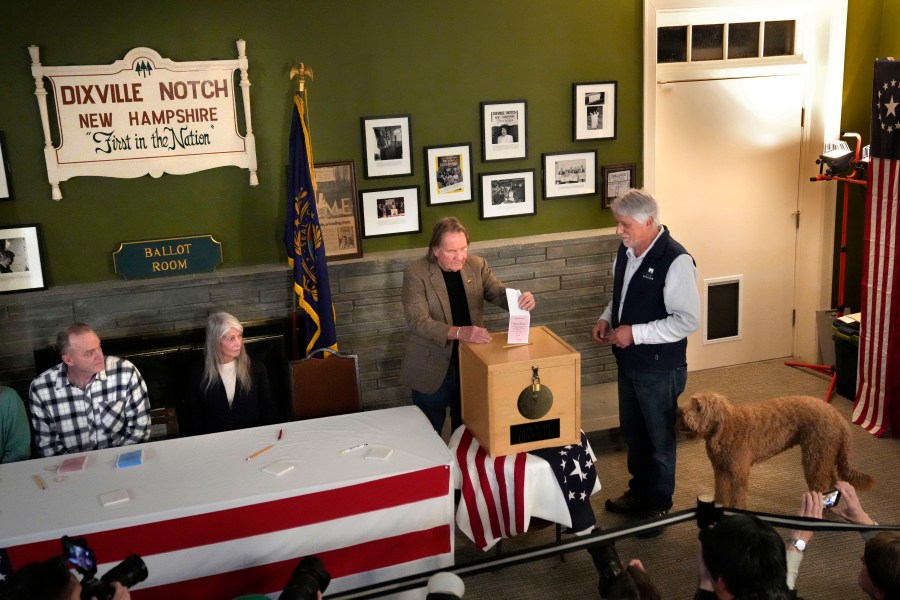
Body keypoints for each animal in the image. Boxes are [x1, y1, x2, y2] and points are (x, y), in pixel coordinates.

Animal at [680, 392, 876, 508]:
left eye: (698, 407)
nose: (679, 412)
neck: (726, 428)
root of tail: (839, 419)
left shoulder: (739, 473)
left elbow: (738, 497)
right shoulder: (720, 471)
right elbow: (721, 492)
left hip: (815, 457)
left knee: (821, 484)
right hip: (824, 456)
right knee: (832, 481)